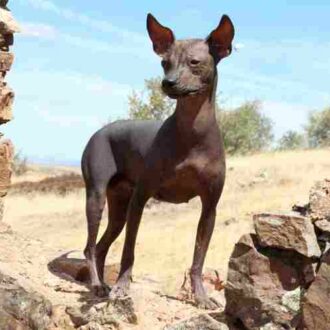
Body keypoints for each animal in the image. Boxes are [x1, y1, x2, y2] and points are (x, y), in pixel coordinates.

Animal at [82, 14, 235, 310]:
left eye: (194, 62)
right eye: (165, 62)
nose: (168, 82)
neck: (192, 132)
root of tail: (100, 131)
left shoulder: (209, 208)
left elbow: (198, 260)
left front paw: (201, 297)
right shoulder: (140, 200)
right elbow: (128, 252)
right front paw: (122, 287)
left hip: (118, 209)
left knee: (102, 246)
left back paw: (100, 284)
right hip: (96, 197)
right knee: (90, 247)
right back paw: (97, 285)